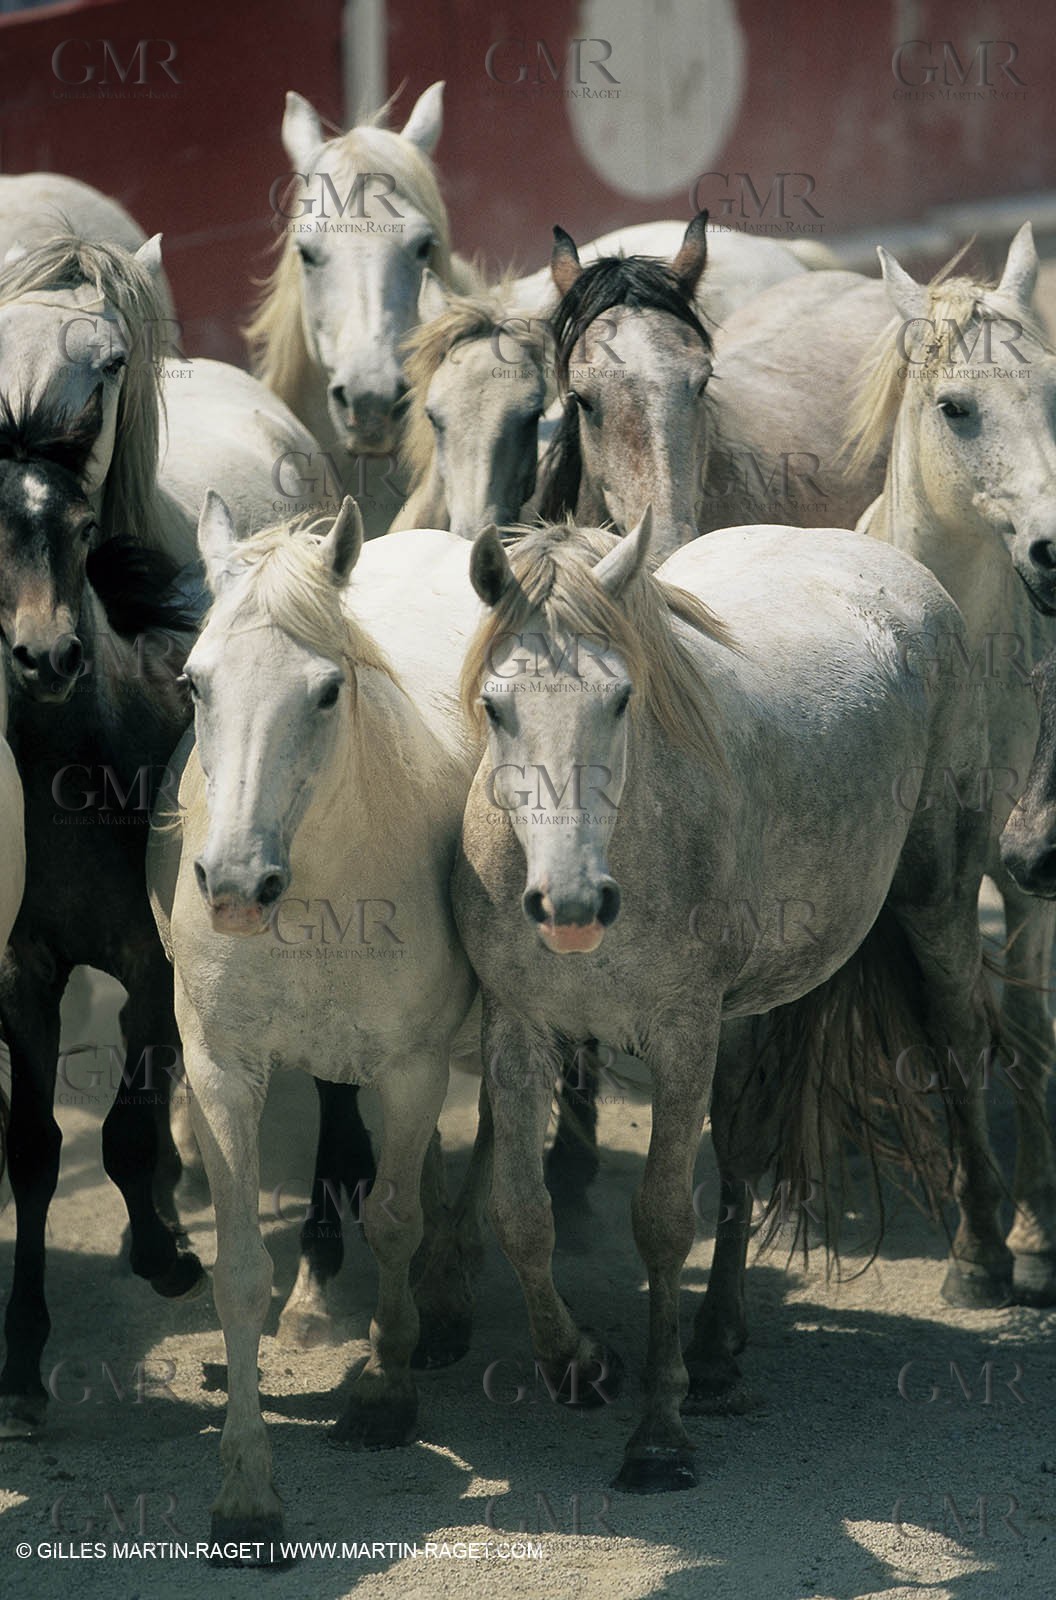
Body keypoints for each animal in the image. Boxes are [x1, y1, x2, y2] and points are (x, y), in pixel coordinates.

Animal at [146, 496, 493, 1553]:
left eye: (329, 691)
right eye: (194, 681)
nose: (232, 885)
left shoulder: (416, 1066)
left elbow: (393, 1219)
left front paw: (383, 1392)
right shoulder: (221, 1069)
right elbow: (239, 1272)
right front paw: (246, 1486)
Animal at [453, 510, 1011, 1493]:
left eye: (621, 701)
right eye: (495, 707)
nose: (570, 906)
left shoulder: (682, 1033)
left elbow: (661, 1222)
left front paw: (658, 1436)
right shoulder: (518, 1029)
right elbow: (521, 1211)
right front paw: (576, 1362)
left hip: (938, 901)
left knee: (957, 1046)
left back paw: (981, 1259)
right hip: (744, 1014)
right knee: (747, 1146)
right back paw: (715, 1348)